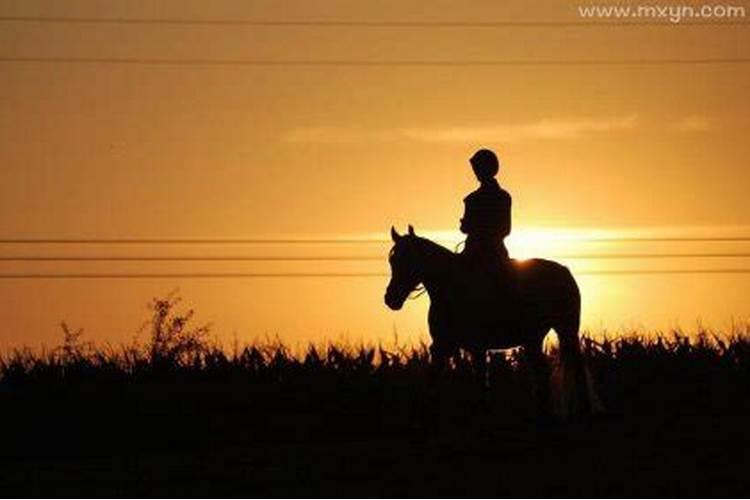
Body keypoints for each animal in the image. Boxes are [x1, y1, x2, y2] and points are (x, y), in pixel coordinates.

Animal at [384, 225, 604, 416]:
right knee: (543, 370)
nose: (390, 299)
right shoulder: (444, 345)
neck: (451, 285)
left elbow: (478, 380)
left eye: (408, 259)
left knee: (574, 367)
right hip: (534, 338)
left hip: (565, 329)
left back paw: (582, 409)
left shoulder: (471, 345)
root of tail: (564, 271)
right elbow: (440, 376)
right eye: (392, 261)